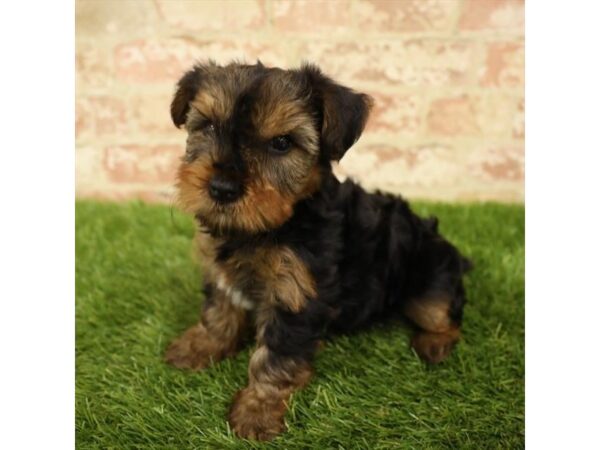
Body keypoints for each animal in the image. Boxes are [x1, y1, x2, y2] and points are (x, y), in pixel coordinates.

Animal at [165, 61, 474, 442]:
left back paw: (435, 344)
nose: (222, 188)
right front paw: (201, 346)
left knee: (445, 314)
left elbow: (275, 355)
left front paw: (258, 410)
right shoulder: (221, 271)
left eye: (281, 143)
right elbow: (218, 312)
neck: (269, 227)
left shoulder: (296, 294)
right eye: (207, 125)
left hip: (429, 280)